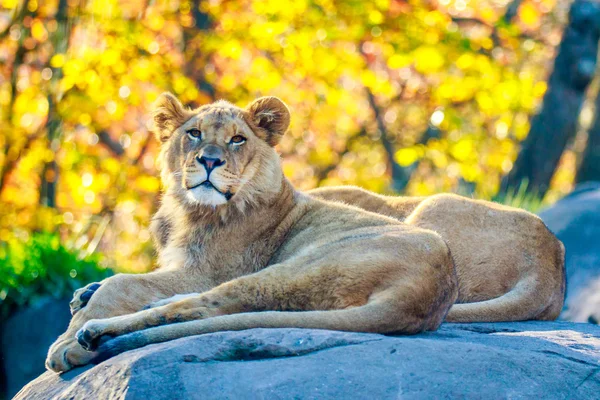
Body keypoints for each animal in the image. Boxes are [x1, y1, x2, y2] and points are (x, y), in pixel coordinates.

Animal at [45, 95, 460, 374]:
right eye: (193, 134)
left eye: (237, 139)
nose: (210, 160)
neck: (187, 210)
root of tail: (425, 299)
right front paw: (85, 293)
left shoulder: (208, 272)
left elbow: (123, 282)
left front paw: (68, 339)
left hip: (292, 269)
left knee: (205, 306)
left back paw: (93, 335)